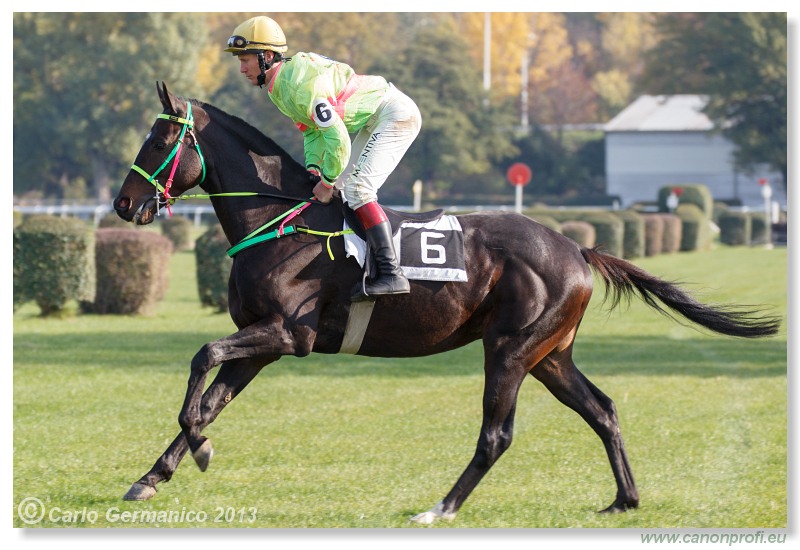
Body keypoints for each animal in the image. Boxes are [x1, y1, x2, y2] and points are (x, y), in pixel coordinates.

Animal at [114, 83, 780, 528]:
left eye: (160, 138)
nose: (123, 205)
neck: (280, 220)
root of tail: (576, 247)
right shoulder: (261, 341)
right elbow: (211, 398)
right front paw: (154, 475)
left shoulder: (287, 334)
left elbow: (203, 359)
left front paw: (197, 450)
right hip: (550, 354)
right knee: (603, 410)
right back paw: (625, 499)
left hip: (509, 350)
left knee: (497, 435)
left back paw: (441, 508)